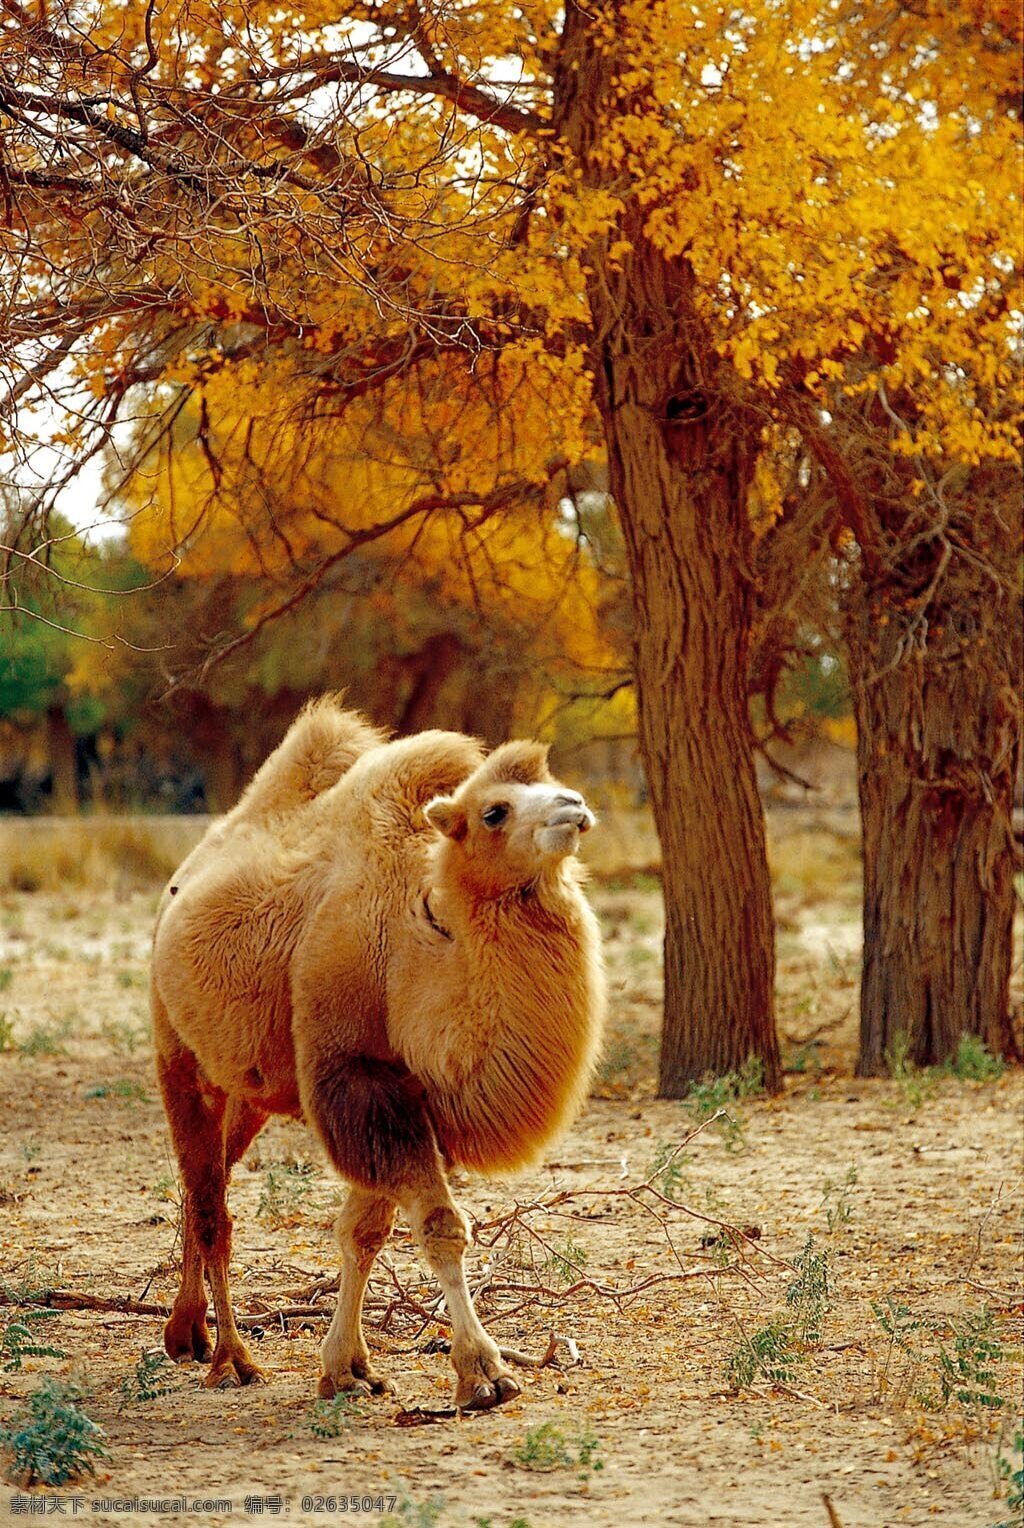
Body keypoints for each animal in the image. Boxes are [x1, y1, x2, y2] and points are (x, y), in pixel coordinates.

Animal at [148, 699, 605, 1399]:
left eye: (550, 780)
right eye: (494, 811)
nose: (573, 805)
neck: (420, 942)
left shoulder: (411, 1099)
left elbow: (363, 1231)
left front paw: (347, 1367)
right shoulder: (361, 1081)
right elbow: (439, 1226)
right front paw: (484, 1372)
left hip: (248, 1092)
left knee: (209, 1182)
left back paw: (187, 1335)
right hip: (177, 1055)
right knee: (209, 1210)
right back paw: (231, 1358)